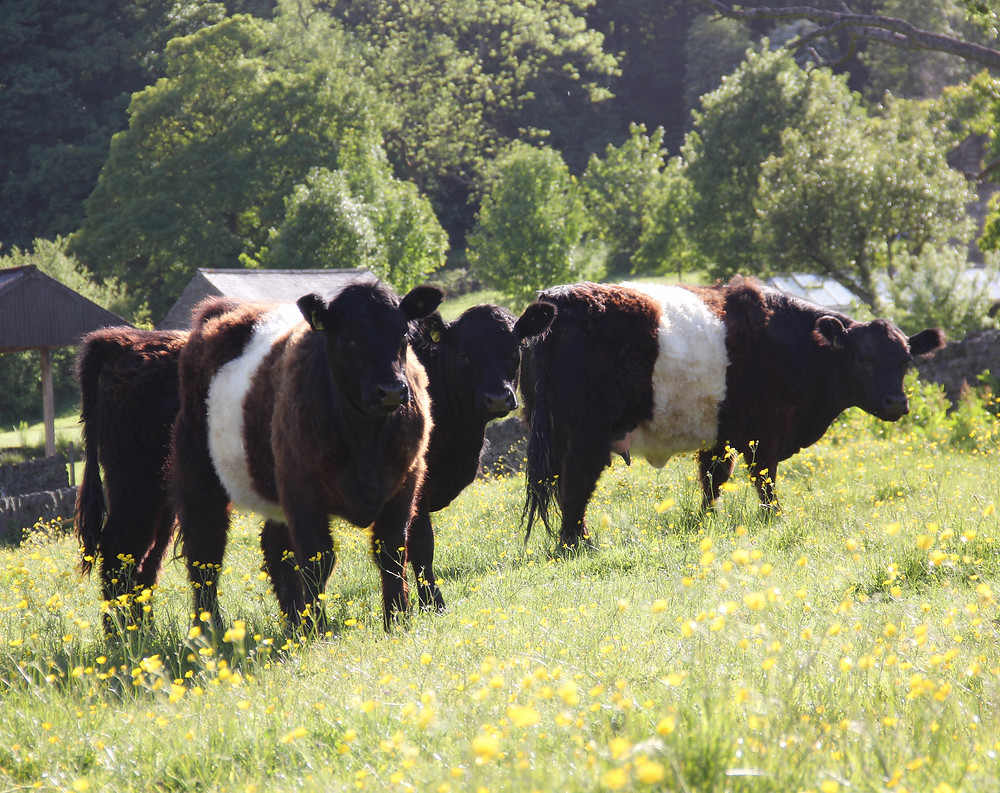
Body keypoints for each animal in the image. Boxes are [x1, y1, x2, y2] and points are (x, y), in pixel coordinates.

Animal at [74, 327, 188, 633]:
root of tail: (123, 342)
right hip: (137, 489)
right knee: (120, 552)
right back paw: (123, 635)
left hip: (160, 501)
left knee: (146, 560)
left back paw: (144, 630)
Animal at [170, 276, 442, 631]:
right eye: (348, 337)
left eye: (404, 336)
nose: (393, 391)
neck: (365, 439)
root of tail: (217, 311)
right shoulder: (302, 489)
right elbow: (318, 559)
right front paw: (318, 628)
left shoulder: (405, 483)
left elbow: (393, 551)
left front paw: (396, 619)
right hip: (199, 477)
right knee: (205, 554)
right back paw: (209, 628)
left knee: (275, 550)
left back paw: (291, 626)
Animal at [521, 276, 945, 548]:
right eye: (864, 358)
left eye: (906, 359)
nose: (897, 403)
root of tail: (557, 298)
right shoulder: (766, 435)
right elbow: (764, 481)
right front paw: (775, 519)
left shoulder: (720, 437)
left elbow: (713, 481)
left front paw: (707, 521)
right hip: (586, 433)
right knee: (575, 484)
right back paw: (578, 544)